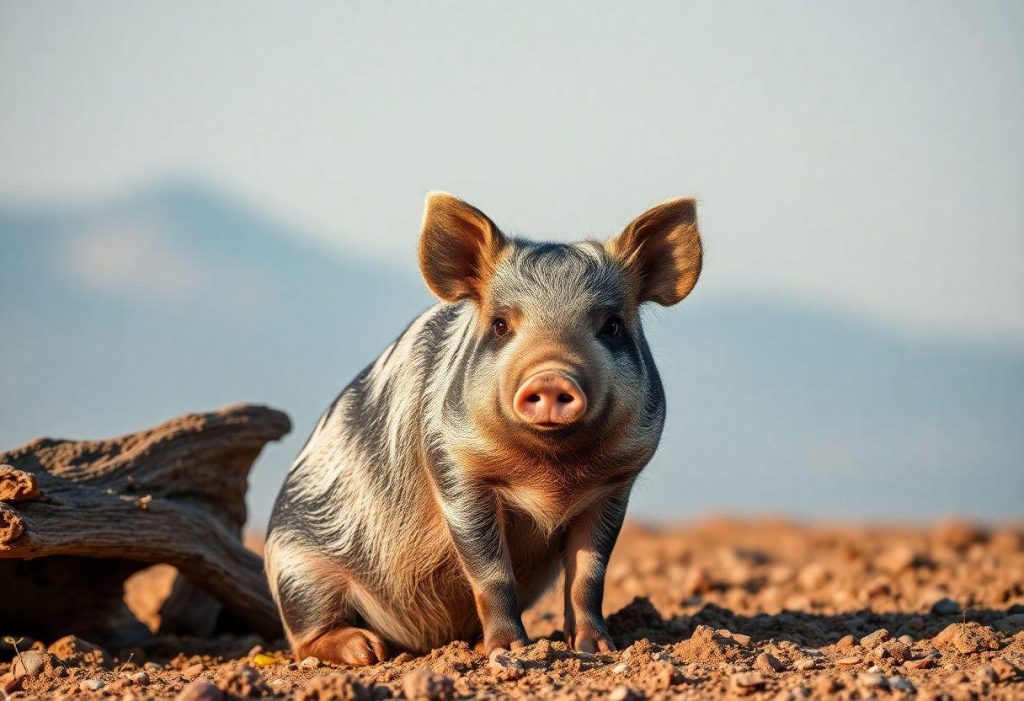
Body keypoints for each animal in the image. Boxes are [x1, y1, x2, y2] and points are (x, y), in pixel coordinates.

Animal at [265, 192, 702, 666]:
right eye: (500, 324)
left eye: (612, 326)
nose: (552, 376)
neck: (552, 472)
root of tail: (418, 642)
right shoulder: (452, 464)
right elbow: (492, 573)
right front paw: (510, 650)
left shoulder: (616, 483)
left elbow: (590, 574)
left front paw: (598, 649)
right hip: (298, 571)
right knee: (304, 636)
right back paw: (368, 651)